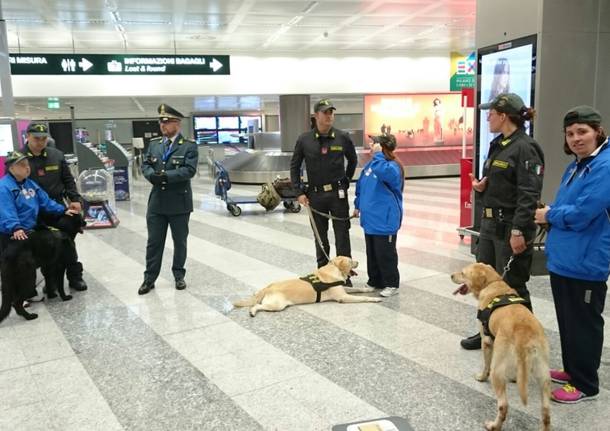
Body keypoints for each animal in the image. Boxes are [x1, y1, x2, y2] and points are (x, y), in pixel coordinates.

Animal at [448, 264, 548, 431]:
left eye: (462, 273)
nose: (451, 275)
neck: (492, 283)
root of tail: (526, 336)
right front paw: (515, 378)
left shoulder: (487, 341)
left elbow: (485, 366)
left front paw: (481, 377)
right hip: (544, 376)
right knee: (546, 413)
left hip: (498, 371)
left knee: (503, 405)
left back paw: (494, 425)